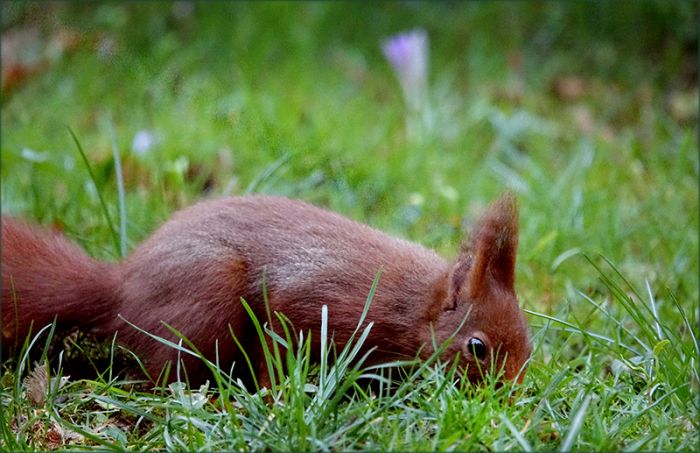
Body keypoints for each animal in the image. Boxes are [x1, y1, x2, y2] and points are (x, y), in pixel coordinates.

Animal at [2, 193, 531, 388]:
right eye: (478, 348)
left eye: (529, 345)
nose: (509, 397)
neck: (416, 304)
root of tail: (121, 289)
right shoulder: (320, 301)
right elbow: (276, 344)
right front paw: (278, 393)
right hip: (207, 297)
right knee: (163, 374)